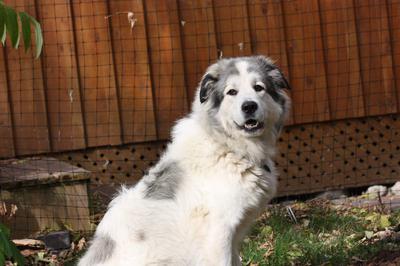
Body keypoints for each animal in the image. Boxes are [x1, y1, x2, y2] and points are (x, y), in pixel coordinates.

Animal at [78, 56, 290, 266]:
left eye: (259, 88)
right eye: (232, 92)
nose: (249, 106)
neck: (226, 146)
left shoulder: (234, 238)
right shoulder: (219, 232)